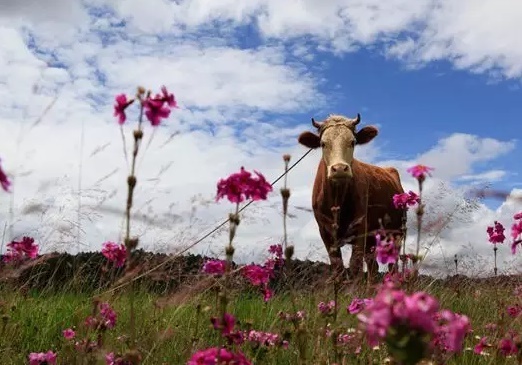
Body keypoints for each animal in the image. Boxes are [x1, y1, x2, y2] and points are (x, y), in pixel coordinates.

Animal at [296, 114, 406, 278]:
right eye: (323, 143)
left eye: (352, 142)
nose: (340, 168)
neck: (337, 198)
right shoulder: (325, 232)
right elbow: (338, 267)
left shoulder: (360, 229)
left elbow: (355, 266)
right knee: (373, 267)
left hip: (396, 232)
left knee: (392, 265)